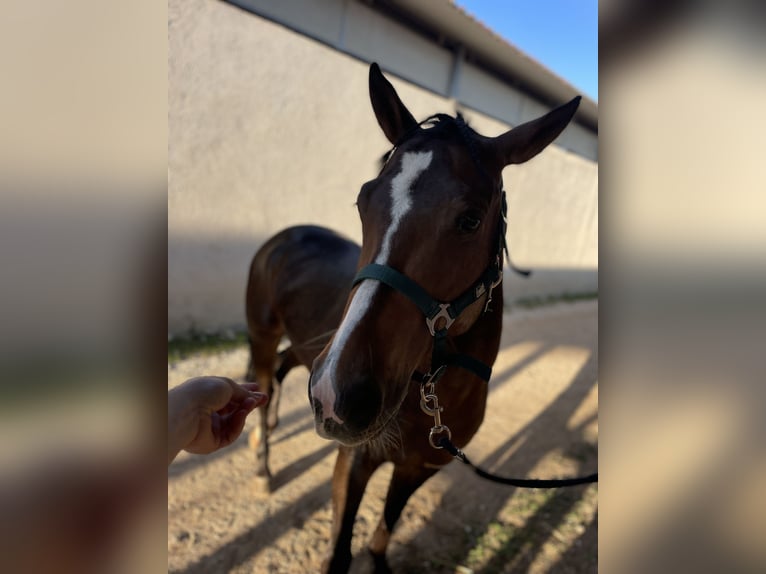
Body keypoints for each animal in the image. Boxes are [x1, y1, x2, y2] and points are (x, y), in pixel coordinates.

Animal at [308, 64, 584, 574]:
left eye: (470, 220)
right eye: (362, 200)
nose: (336, 394)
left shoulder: (419, 467)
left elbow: (386, 526)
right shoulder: (355, 459)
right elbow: (340, 550)